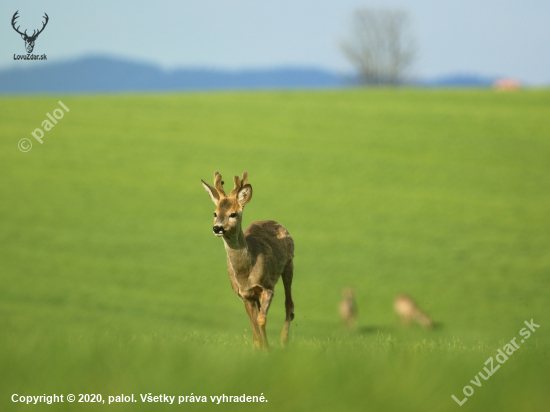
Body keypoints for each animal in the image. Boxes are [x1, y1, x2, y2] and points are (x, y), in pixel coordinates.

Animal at [202, 171, 296, 348]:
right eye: (215, 213)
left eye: (233, 214)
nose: (217, 228)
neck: (246, 273)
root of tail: (274, 221)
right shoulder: (244, 294)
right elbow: (254, 325)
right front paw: (259, 347)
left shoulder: (267, 286)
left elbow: (261, 319)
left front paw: (267, 348)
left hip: (289, 263)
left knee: (289, 305)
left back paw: (284, 341)